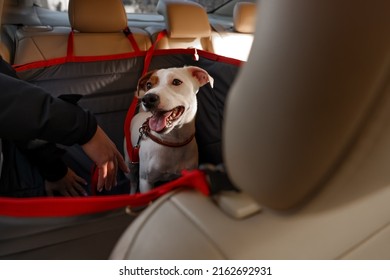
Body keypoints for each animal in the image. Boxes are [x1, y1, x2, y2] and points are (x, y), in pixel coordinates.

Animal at [125, 66, 213, 194]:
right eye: (148, 85)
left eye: (176, 82)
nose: (147, 98)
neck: (172, 141)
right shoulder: (145, 182)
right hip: (129, 163)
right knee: (133, 181)